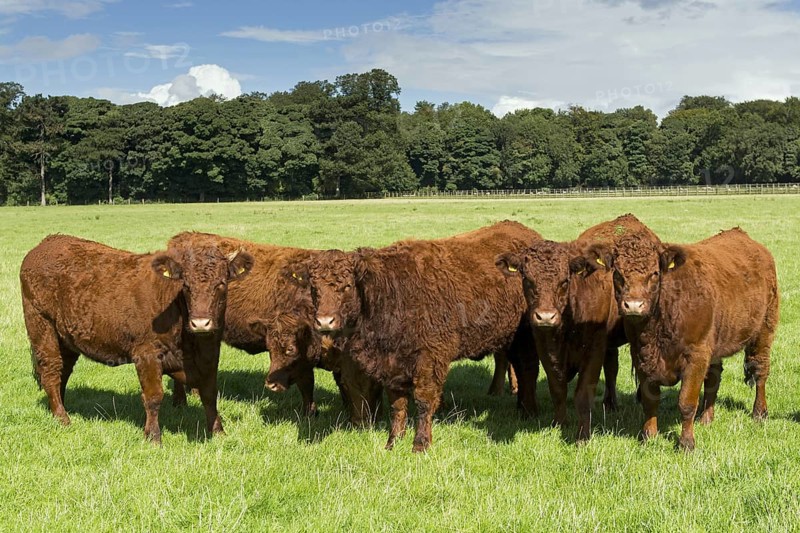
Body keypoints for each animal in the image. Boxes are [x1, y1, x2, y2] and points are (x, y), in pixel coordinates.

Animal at [20, 234, 253, 444]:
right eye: (186, 285)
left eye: (221, 284)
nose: (201, 323)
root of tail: (47, 242)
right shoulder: (147, 354)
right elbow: (153, 397)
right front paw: (153, 437)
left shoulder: (210, 352)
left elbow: (209, 393)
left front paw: (218, 432)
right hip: (42, 326)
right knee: (51, 372)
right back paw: (63, 418)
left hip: (66, 338)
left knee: (63, 372)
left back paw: (60, 409)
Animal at [277, 221, 541, 452]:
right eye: (314, 288)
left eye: (347, 286)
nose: (324, 322)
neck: (391, 293)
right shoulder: (392, 365)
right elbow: (398, 404)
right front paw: (393, 441)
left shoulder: (430, 359)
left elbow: (424, 400)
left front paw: (420, 444)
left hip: (525, 337)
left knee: (527, 369)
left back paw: (528, 412)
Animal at [496, 214, 659, 441]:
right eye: (527, 280)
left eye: (564, 281)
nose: (545, 317)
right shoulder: (544, 345)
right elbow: (557, 387)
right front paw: (559, 423)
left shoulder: (594, 348)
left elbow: (583, 393)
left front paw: (582, 436)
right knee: (612, 368)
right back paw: (610, 403)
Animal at [586, 227, 779, 450]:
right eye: (617, 273)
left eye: (655, 273)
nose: (633, 305)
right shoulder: (641, 355)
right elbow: (650, 400)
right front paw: (648, 437)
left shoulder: (695, 356)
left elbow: (686, 402)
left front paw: (686, 443)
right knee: (714, 378)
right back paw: (706, 418)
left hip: (764, 329)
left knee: (760, 371)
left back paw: (759, 413)